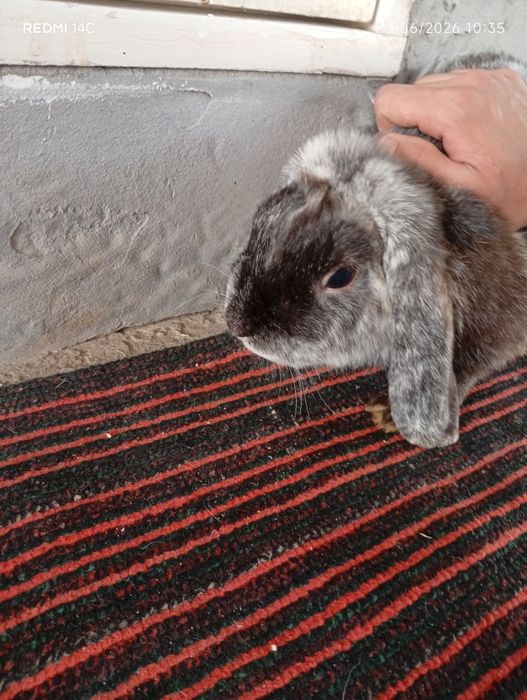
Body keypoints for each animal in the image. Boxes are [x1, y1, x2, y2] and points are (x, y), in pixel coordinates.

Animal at [224, 54, 527, 449]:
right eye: (260, 221)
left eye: (340, 276)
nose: (237, 325)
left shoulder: (502, 320)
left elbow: (469, 362)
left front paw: (388, 415)